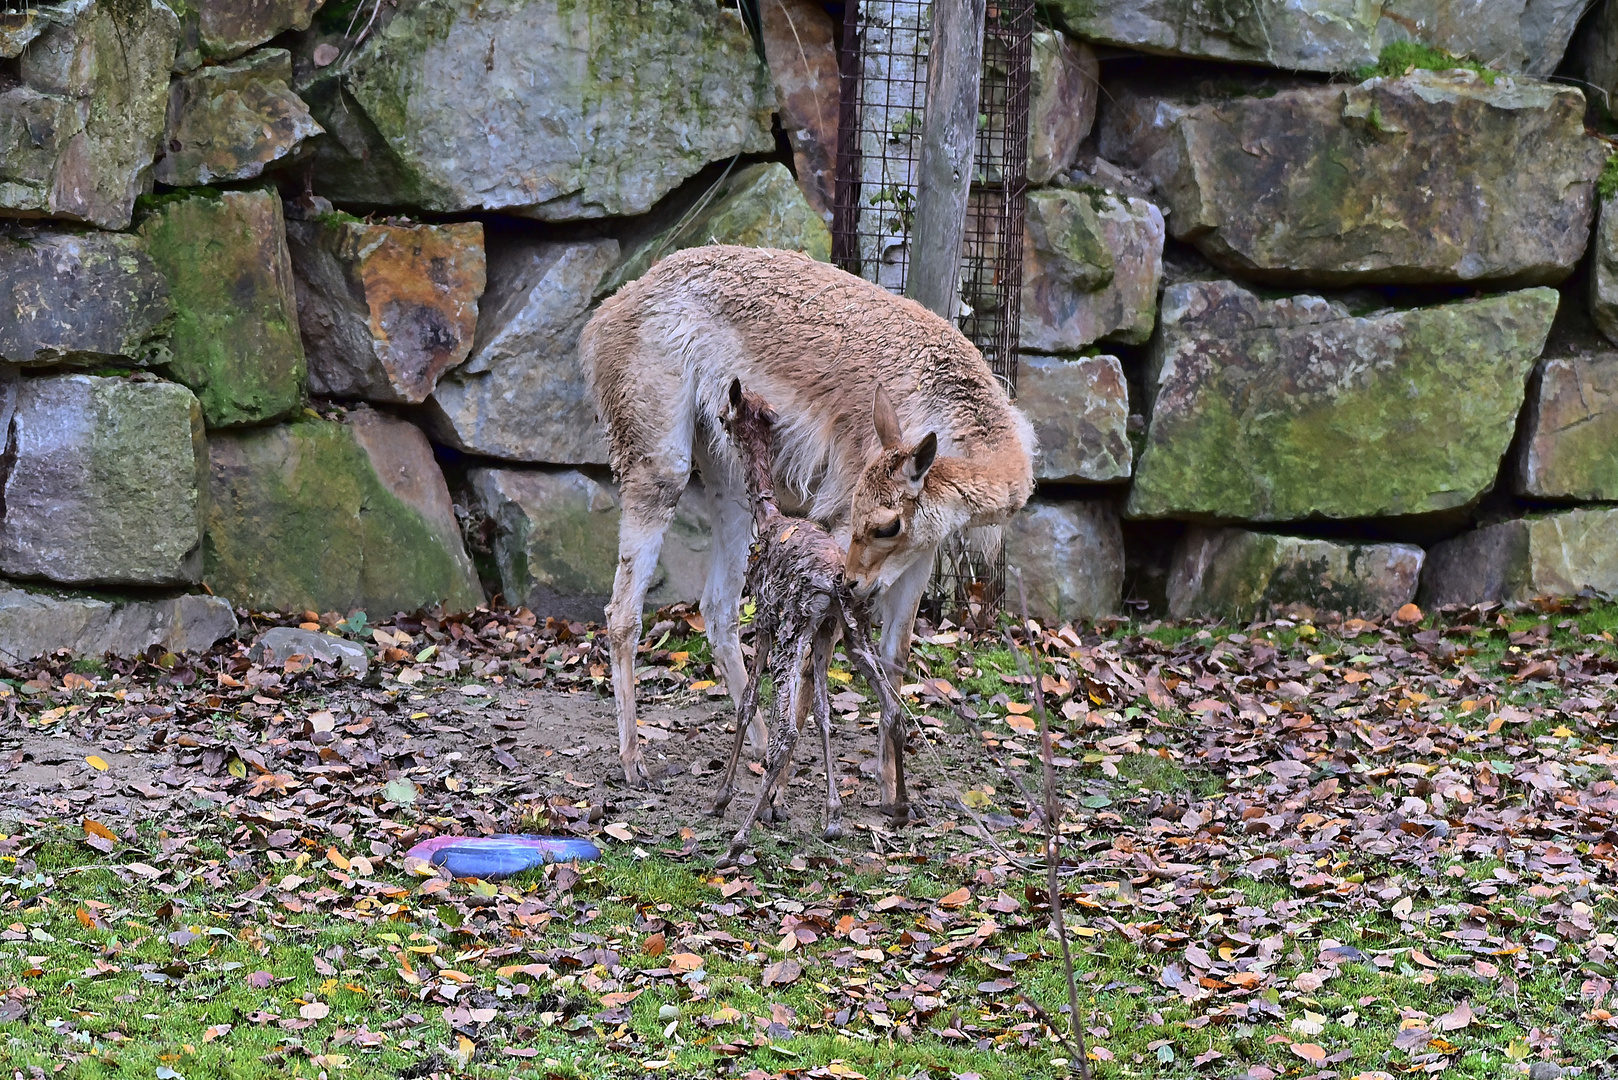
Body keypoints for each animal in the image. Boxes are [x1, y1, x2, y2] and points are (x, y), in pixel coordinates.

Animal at [711, 383, 906, 867]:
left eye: (726, 412)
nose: (716, 420)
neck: (769, 518)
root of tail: (833, 579)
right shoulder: (824, 633)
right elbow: (822, 713)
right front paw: (833, 814)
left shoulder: (765, 619)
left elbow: (747, 704)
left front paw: (722, 798)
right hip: (855, 634)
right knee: (892, 707)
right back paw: (900, 808)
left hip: (791, 633)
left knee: (784, 731)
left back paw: (737, 841)